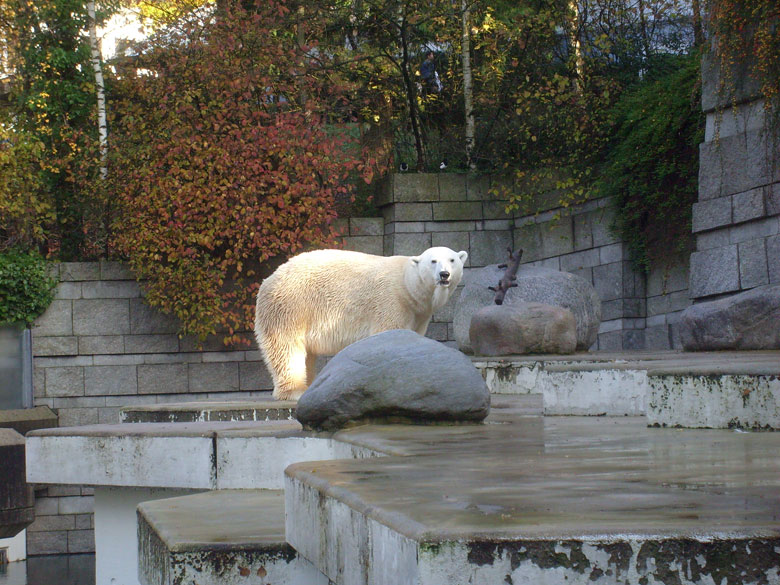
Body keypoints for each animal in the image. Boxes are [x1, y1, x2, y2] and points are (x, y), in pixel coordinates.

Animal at [253, 246, 466, 402]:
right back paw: (296, 391)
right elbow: (388, 335)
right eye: (433, 261)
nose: (444, 274)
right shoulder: (391, 303)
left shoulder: (419, 314)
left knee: (307, 354)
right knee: (286, 348)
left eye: (452, 260)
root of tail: (270, 278)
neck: (407, 285)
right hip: (291, 307)